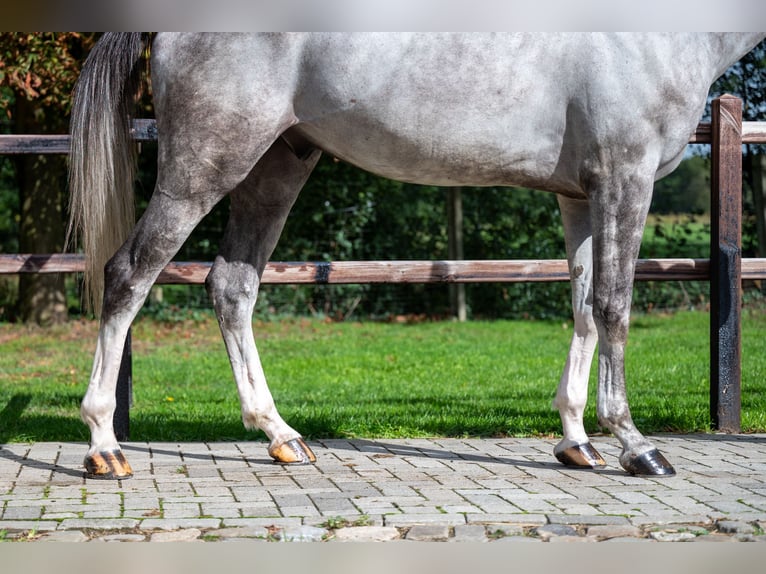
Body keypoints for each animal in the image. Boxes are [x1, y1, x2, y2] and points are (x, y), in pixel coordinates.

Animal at [69, 32, 764, 482]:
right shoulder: (626, 179)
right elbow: (616, 306)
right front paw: (634, 445)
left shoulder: (580, 195)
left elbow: (585, 309)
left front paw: (575, 442)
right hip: (207, 163)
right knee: (129, 274)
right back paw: (105, 446)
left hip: (276, 165)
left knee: (232, 286)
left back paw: (281, 435)